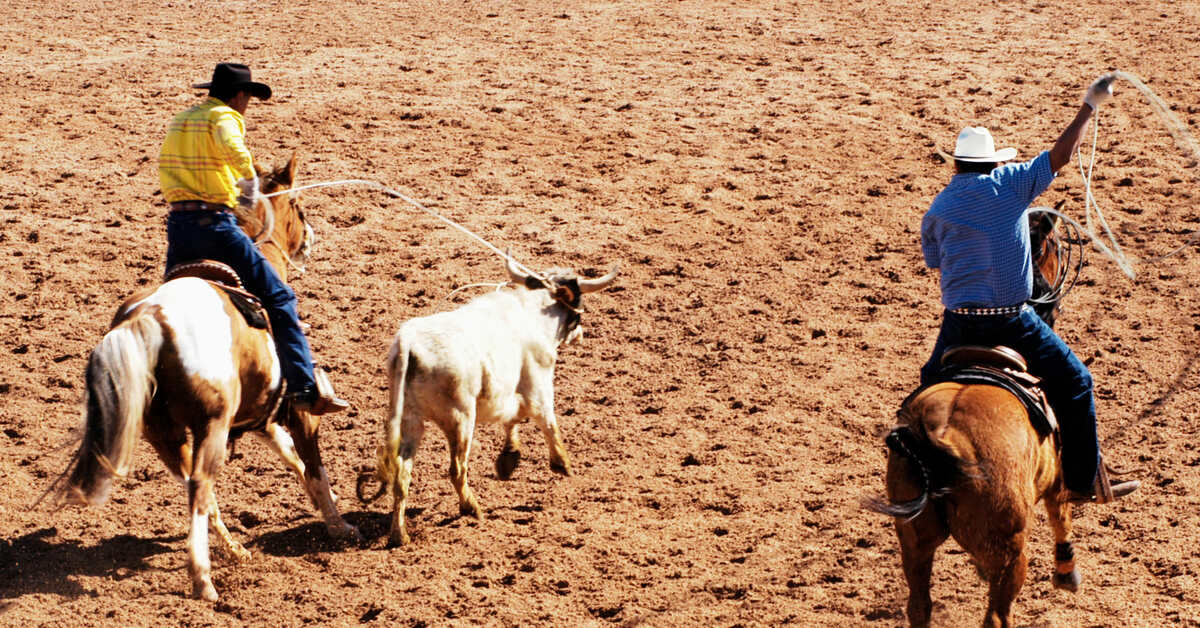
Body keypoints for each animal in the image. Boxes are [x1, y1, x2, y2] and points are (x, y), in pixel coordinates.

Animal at [56, 154, 355, 602]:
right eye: (297, 204)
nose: (310, 239)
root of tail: (149, 318)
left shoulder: (260, 414)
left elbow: (290, 456)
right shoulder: (300, 410)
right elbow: (313, 465)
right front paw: (339, 524)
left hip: (164, 433)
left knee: (195, 489)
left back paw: (232, 550)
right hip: (210, 427)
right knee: (199, 485)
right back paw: (203, 578)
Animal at [864, 212, 1089, 628]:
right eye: (1055, 245)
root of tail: (939, 437)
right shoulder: (1056, 479)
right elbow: (1061, 515)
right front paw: (1067, 572)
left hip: (914, 540)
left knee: (919, 607)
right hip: (1010, 553)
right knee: (996, 616)